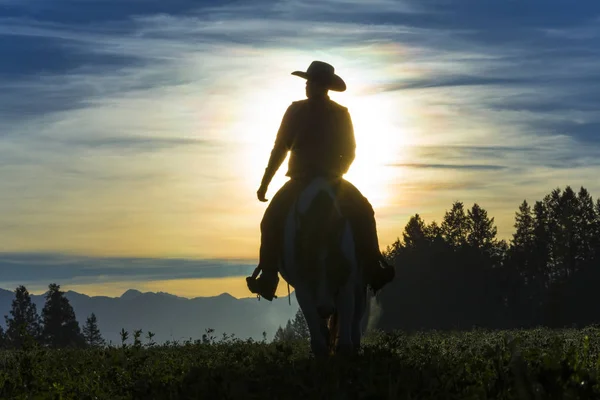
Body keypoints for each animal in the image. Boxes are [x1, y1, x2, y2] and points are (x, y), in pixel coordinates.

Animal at [278, 177, 370, 354]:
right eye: (308, 264)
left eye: (337, 263)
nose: (326, 309)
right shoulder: (301, 283)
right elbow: (310, 312)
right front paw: (320, 347)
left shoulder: (347, 280)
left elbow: (347, 308)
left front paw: (345, 347)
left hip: (360, 283)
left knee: (357, 312)